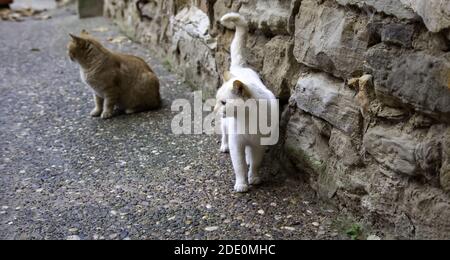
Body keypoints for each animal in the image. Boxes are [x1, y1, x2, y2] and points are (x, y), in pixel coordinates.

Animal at [214, 12, 278, 193]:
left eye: (223, 102)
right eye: (217, 101)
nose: (214, 109)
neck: (247, 119)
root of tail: (240, 68)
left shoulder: (258, 144)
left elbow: (255, 163)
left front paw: (254, 178)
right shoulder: (237, 144)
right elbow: (239, 166)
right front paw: (242, 184)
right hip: (225, 125)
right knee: (224, 135)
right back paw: (224, 146)